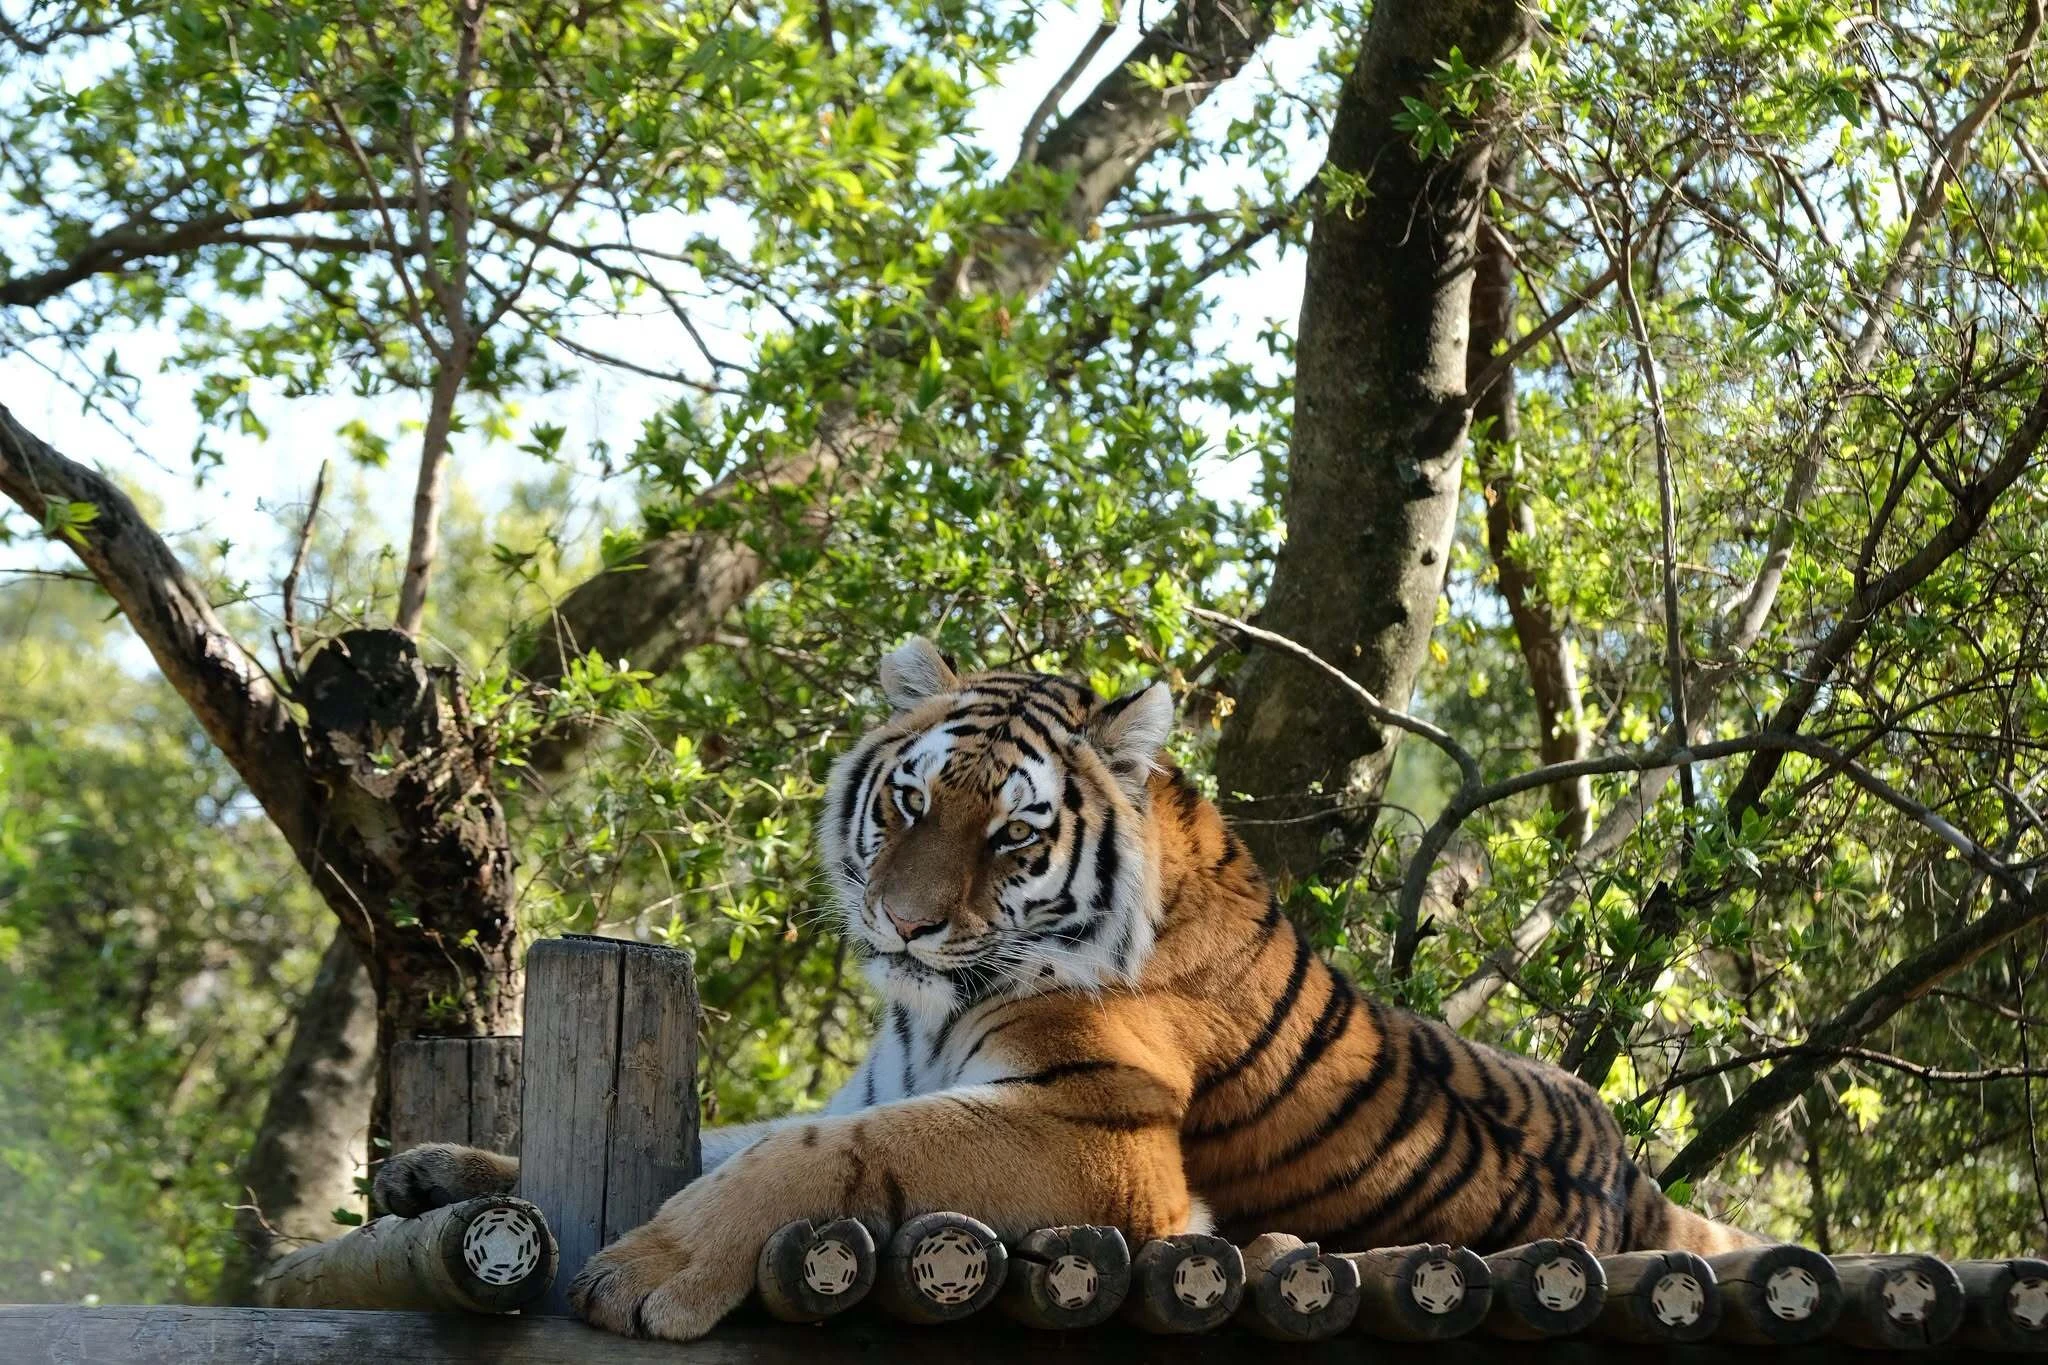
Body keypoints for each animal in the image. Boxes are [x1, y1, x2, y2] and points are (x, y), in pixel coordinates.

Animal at [374, 637, 1758, 1341]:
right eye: (910, 803)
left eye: (1011, 837)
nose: (901, 920)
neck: (924, 1006)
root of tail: (1634, 1179)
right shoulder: (880, 1077)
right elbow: (722, 1135)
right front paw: (450, 1171)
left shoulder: (1100, 1128)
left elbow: (818, 1154)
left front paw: (652, 1268)